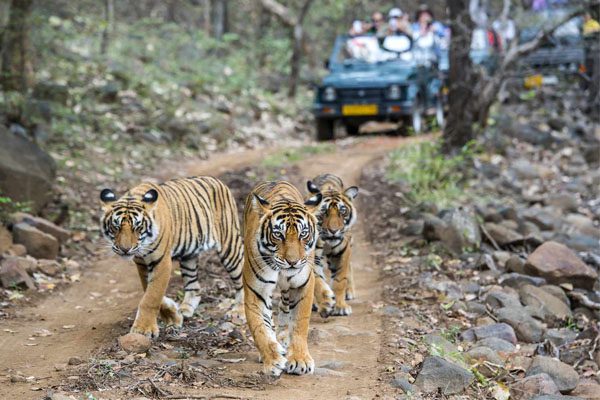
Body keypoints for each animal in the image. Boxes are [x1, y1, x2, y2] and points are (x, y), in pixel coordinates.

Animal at [101, 177, 244, 336]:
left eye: (137, 227)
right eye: (116, 227)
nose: (125, 249)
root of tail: (217, 181)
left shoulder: (161, 262)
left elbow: (152, 296)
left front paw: (143, 329)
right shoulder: (142, 264)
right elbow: (149, 291)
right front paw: (173, 316)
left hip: (230, 246)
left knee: (242, 279)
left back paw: (239, 312)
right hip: (189, 255)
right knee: (194, 286)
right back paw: (185, 309)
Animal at [243, 180, 324, 376]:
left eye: (303, 234)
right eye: (278, 234)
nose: (292, 262)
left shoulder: (303, 286)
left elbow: (299, 324)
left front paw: (300, 360)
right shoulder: (255, 291)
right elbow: (260, 328)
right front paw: (272, 360)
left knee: (285, 307)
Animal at [308, 173, 358, 318]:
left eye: (343, 211)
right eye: (323, 212)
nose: (334, 230)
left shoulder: (342, 251)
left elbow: (340, 280)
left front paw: (340, 307)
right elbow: (317, 281)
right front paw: (325, 303)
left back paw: (349, 292)